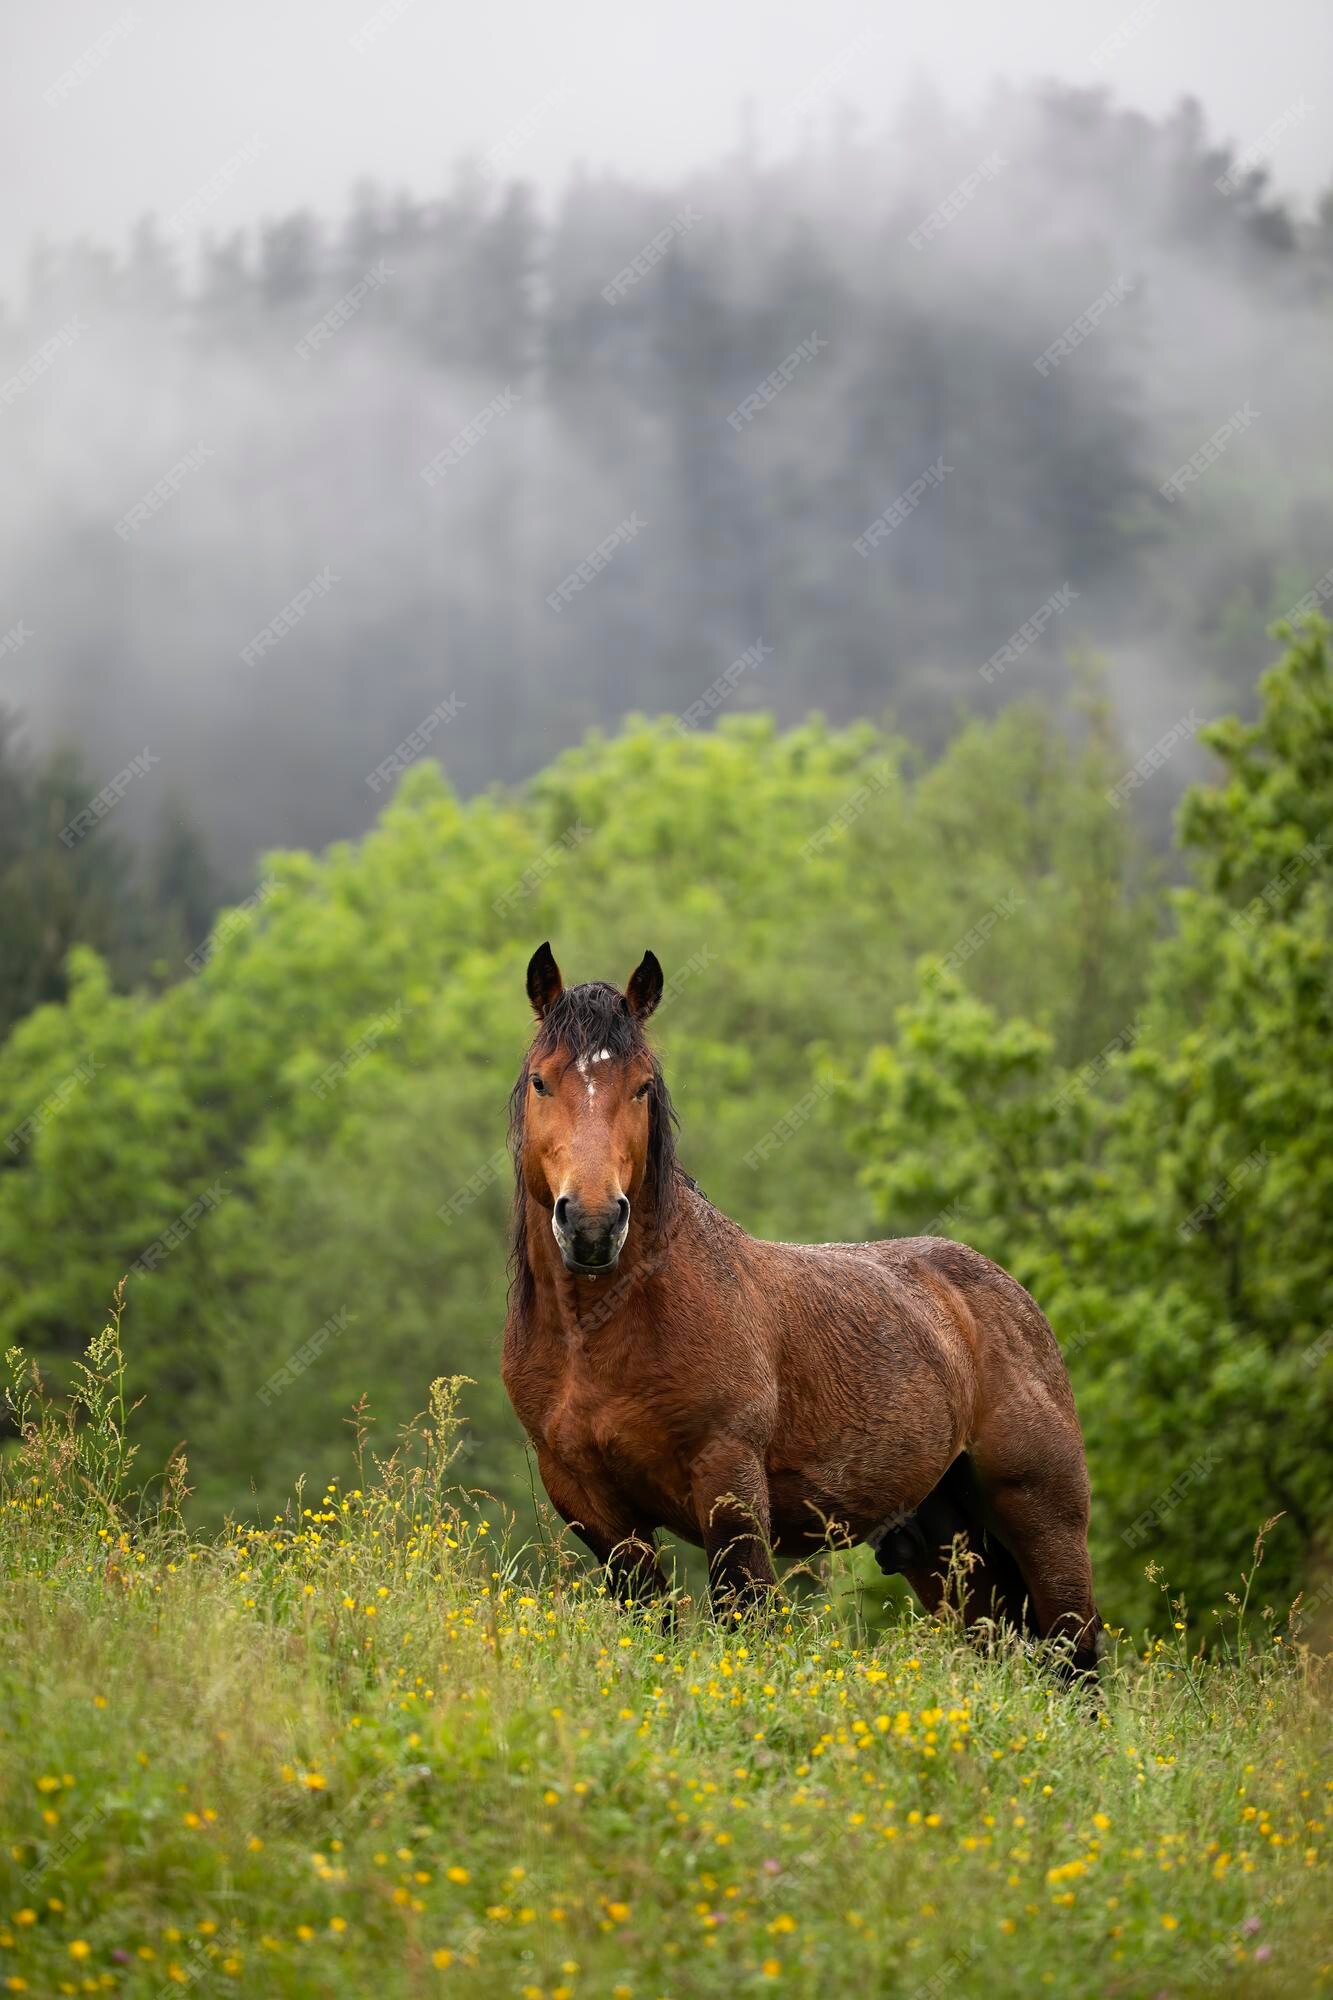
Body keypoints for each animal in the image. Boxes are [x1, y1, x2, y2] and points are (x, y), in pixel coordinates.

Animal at [498, 944, 1096, 1680]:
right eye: (540, 1082)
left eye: (641, 1086)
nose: (590, 1224)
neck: (601, 1334)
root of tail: (1013, 1300)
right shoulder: (594, 1507)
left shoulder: (728, 1486)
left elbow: (743, 1616)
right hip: (942, 1543)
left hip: (1043, 1519)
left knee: (1078, 1657)